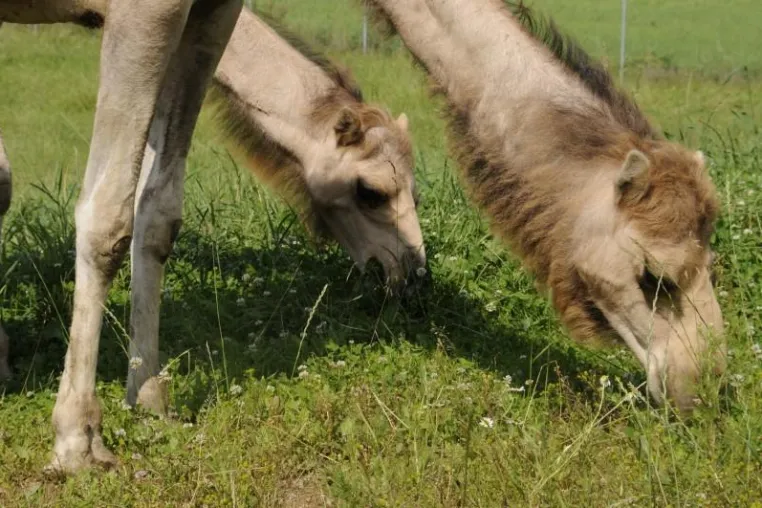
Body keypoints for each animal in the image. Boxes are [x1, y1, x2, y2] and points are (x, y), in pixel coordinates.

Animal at [0, 3, 425, 472]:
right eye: (370, 191)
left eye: (415, 190)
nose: (410, 269)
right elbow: (105, 218)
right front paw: (77, 442)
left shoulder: (208, 14)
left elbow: (158, 214)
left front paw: (151, 402)